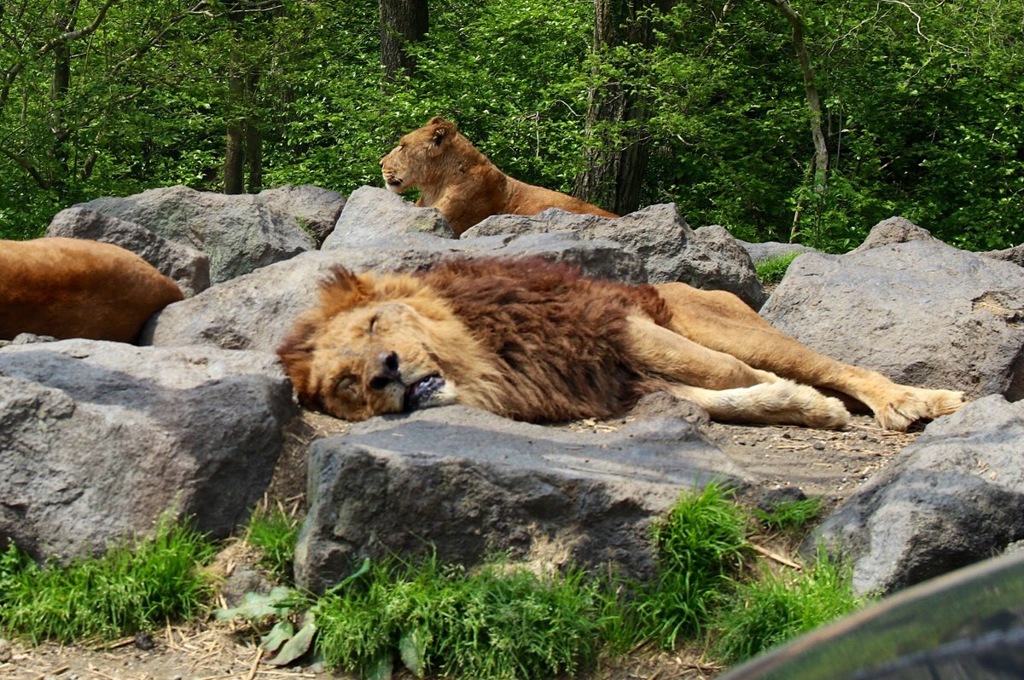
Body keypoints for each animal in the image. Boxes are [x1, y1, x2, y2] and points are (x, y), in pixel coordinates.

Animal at [276, 256, 962, 430]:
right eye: (345, 384)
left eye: (373, 328)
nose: (384, 372)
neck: (484, 361)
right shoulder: (612, 385)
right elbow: (725, 397)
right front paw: (808, 408)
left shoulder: (612, 325)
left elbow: (726, 374)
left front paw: (806, 399)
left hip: (715, 320)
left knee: (825, 362)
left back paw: (915, 401)